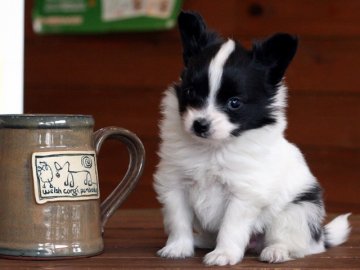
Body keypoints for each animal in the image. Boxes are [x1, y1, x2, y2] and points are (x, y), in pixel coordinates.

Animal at [153, 11, 350, 266]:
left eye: (234, 103)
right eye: (190, 92)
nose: (200, 124)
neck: (212, 148)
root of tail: (319, 236)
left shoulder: (243, 194)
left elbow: (230, 227)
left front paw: (224, 253)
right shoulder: (175, 184)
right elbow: (178, 221)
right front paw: (178, 247)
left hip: (297, 211)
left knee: (296, 243)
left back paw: (276, 251)